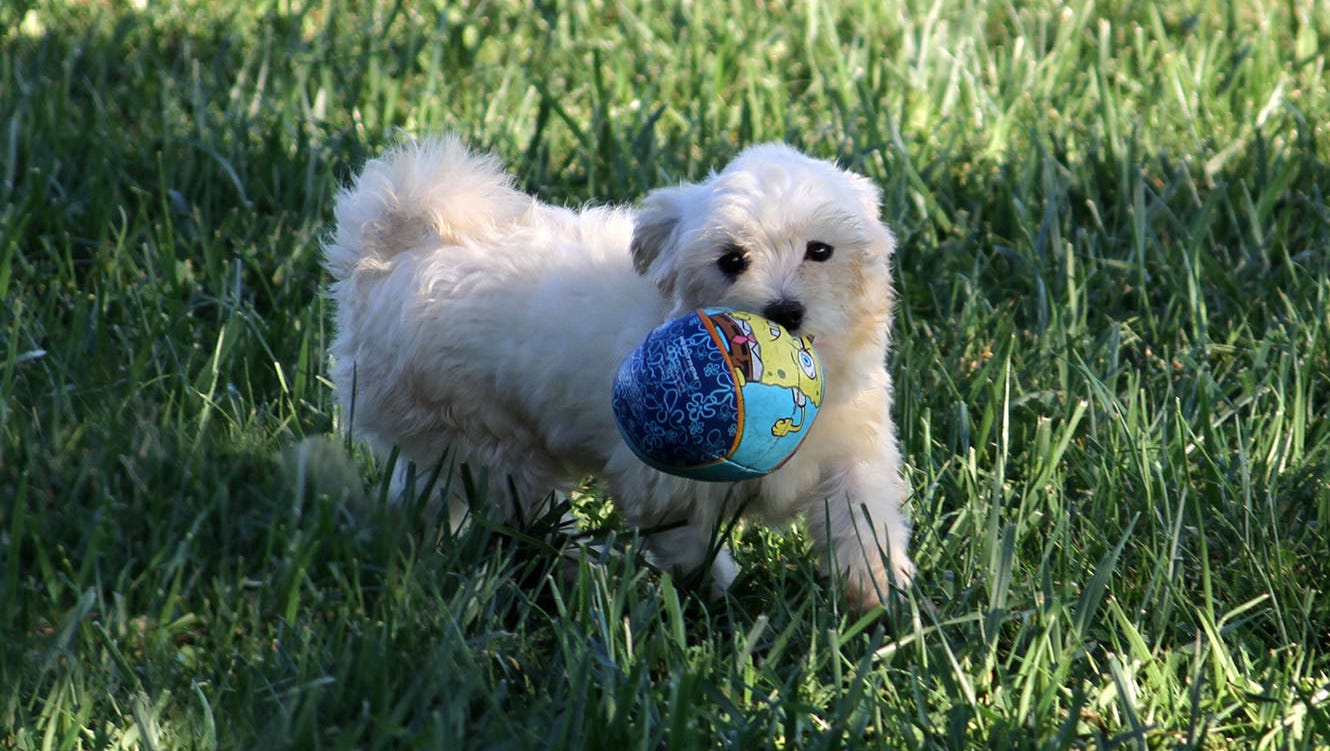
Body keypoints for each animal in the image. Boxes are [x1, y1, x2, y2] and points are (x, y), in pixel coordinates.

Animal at [327, 136, 915, 608]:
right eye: (731, 260)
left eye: (821, 251)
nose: (786, 312)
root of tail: (392, 249)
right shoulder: (660, 476)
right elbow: (687, 541)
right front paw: (716, 590)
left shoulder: (852, 445)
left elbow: (862, 513)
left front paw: (878, 587)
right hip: (483, 436)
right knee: (523, 506)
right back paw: (579, 563)